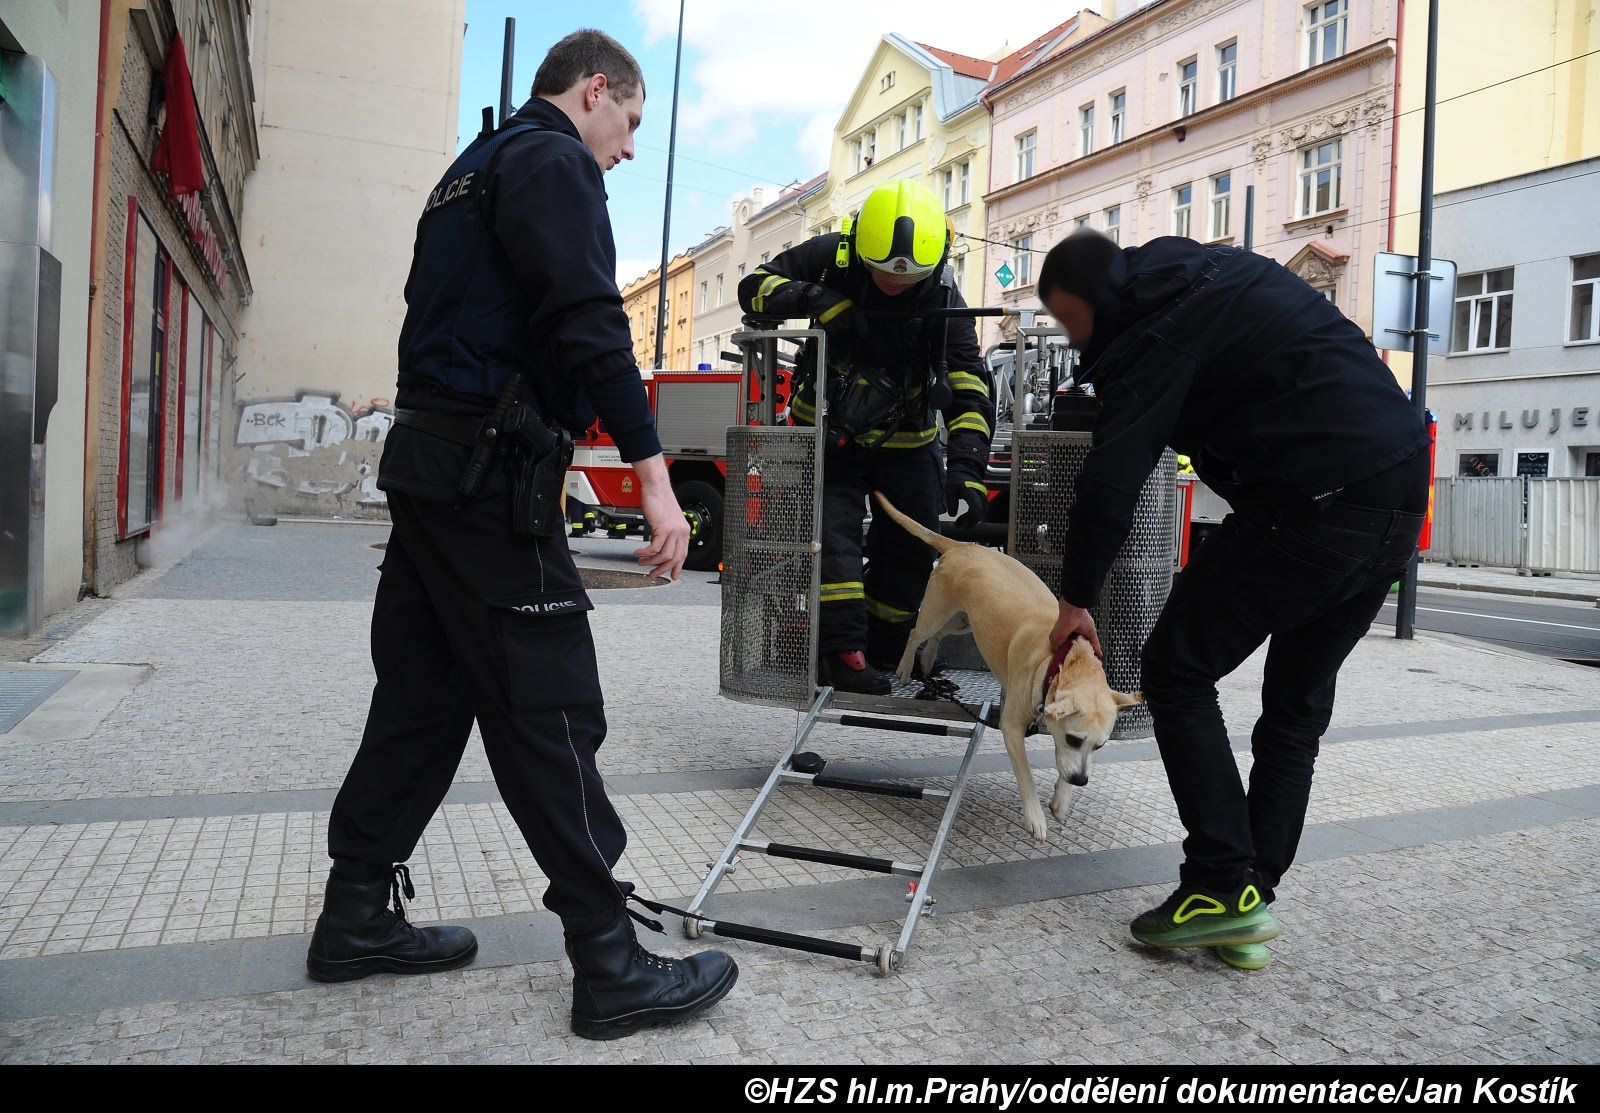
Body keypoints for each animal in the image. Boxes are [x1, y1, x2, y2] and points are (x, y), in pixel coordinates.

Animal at [876, 492, 1139, 837]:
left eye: (1100, 747)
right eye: (1074, 739)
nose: (1081, 781)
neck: (1060, 662)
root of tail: (962, 547)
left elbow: (1062, 764)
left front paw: (1062, 799)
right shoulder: (1011, 728)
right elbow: (1026, 774)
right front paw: (1035, 817)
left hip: (965, 622)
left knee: (939, 636)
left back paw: (930, 659)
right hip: (936, 611)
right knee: (914, 633)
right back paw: (906, 668)